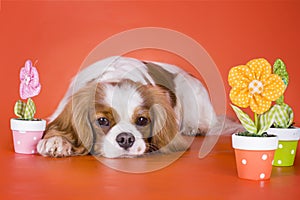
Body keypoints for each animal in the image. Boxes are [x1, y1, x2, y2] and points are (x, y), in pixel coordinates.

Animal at [37, 55, 239, 158]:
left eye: (142, 120)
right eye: (102, 121)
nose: (126, 138)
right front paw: (55, 141)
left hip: (187, 85)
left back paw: (195, 128)